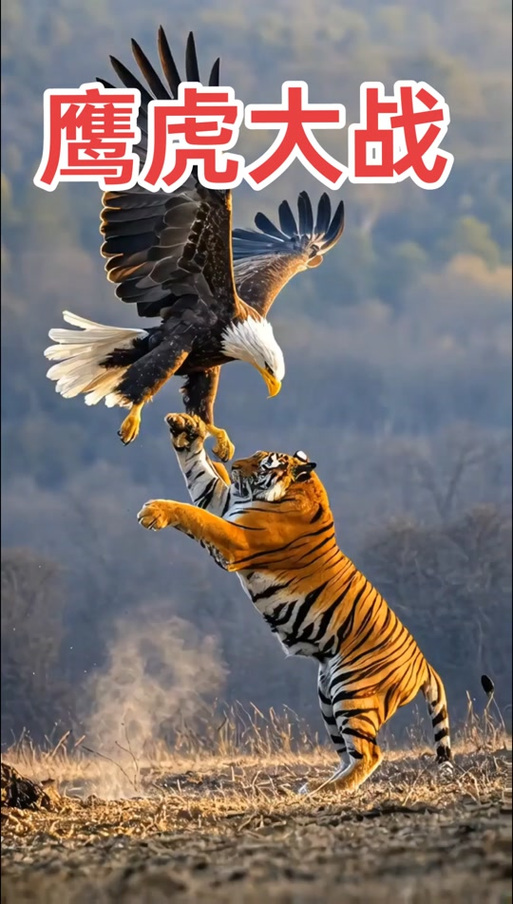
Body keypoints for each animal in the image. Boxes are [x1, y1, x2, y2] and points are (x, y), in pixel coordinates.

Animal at [137, 413, 452, 794]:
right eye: (255, 456)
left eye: (263, 464)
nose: (235, 464)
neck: (300, 489)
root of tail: (425, 665)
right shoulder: (226, 503)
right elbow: (200, 476)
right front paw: (185, 429)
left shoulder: (237, 538)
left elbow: (195, 515)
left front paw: (154, 511)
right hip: (327, 695)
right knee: (348, 754)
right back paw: (313, 787)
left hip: (352, 692)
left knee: (369, 754)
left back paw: (325, 791)